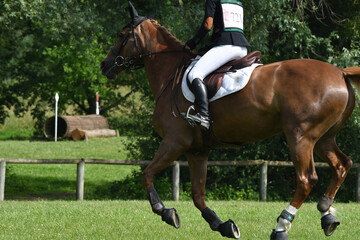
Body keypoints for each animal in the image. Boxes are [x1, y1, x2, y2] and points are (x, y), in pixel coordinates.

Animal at [100, 3, 360, 240]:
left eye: (122, 35)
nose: (105, 65)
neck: (170, 75)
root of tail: (340, 72)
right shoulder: (197, 150)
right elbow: (198, 195)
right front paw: (223, 225)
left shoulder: (174, 141)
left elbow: (148, 174)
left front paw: (165, 211)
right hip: (324, 138)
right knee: (342, 165)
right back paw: (327, 213)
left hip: (300, 137)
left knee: (307, 179)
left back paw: (281, 226)